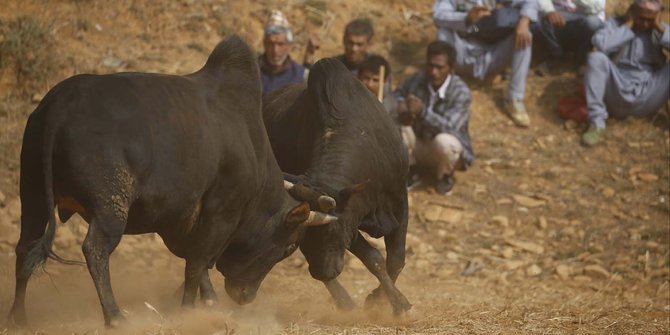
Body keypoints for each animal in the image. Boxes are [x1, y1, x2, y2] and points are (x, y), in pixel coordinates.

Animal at [8, 36, 336, 328]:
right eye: (289, 247)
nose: (245, 297)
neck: (251, 146)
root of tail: (59, 104)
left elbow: (199, 264)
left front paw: (209, 304)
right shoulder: (220, 214)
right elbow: (196, 265)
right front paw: (191, 311)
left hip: (33, 196)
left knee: (25, 248)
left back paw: (18, 317)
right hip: (110, 207)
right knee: (95, 250)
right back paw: (114, 316)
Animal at [264, 59, 414, 316]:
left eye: (330, 230)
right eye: (304, 234)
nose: (323, 272)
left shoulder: (399, 201)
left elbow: (395, 259)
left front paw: (382, 300)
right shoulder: (350, 223)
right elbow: (373, 258)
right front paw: (390, 301)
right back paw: (344, 300)